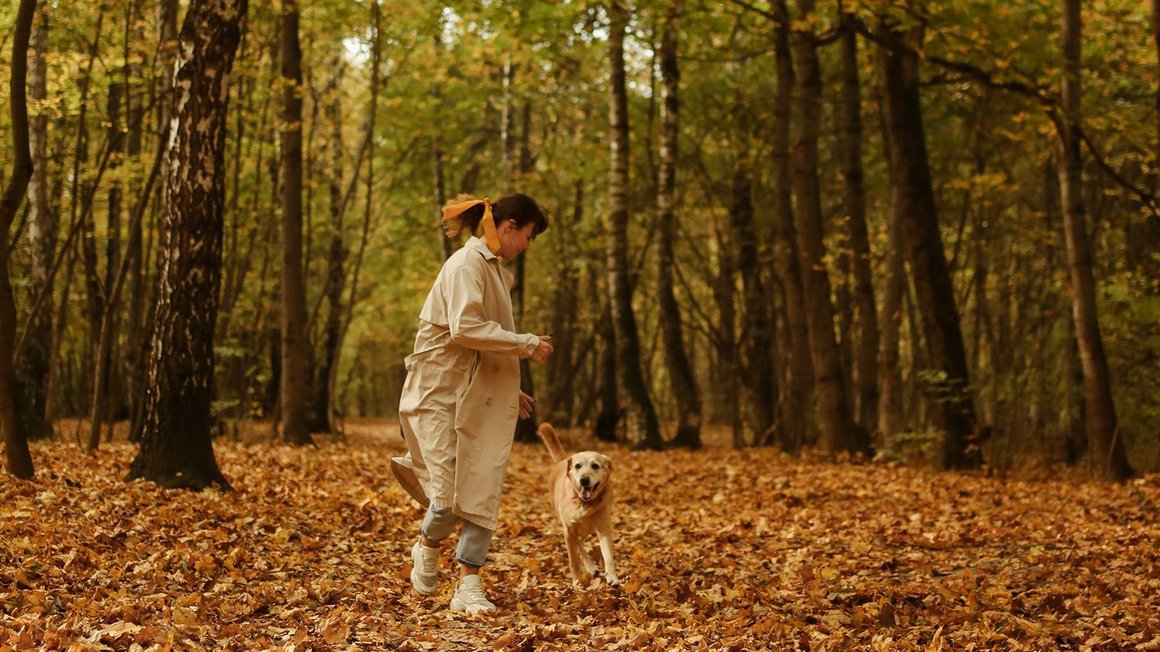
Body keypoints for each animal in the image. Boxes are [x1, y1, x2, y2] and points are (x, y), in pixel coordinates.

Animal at [538, 417, 621, 587]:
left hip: (586, 529)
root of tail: (564, 460)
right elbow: (573, 560)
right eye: (578, 466)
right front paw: (576, 582)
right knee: (577, 543)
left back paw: (592, 567)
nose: (584, 480)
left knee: (581, 542)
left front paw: (612, 577)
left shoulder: (603, 529)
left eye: (595, 466)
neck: (584, 504)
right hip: (567, 525)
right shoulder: (568, 529)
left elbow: (608, 556)